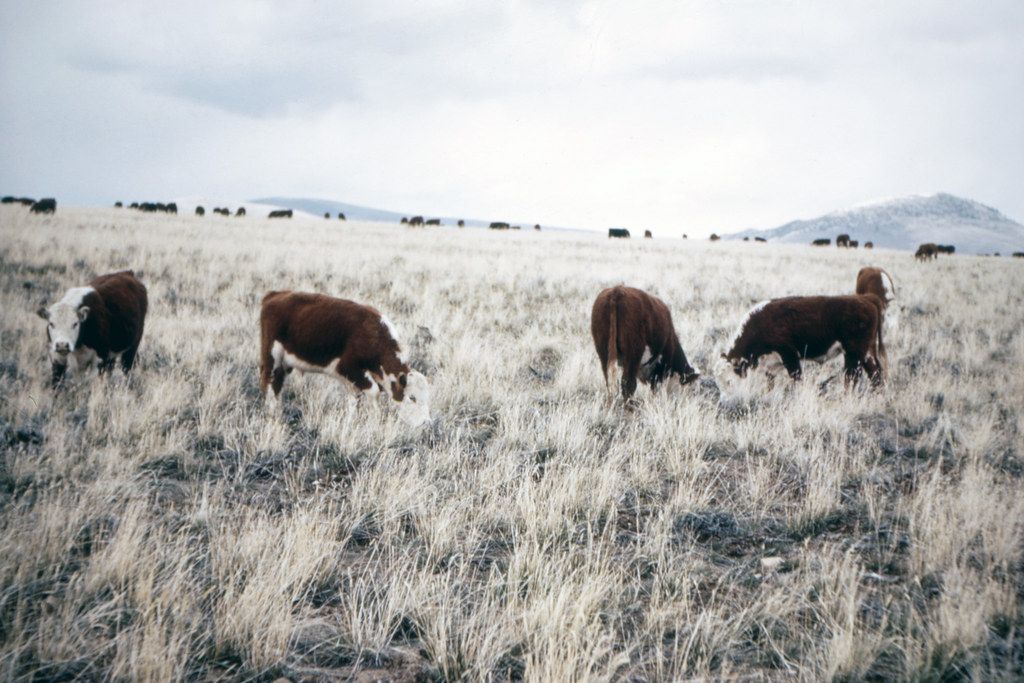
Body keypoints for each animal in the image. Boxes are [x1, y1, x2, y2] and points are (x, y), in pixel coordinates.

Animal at [259, 291, 430, 426]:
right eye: (412, 397)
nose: (426, 423)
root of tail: (275, 295)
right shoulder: (347, 367)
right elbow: (374, 391)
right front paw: (375, 419)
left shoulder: (351, 379)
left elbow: (353, 400)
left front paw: (351, 420)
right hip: (272, 357)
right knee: (270, 382)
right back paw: (272, 414)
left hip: (285, 363)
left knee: (277, 385)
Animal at [721, 295, 885, 387]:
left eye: (728, 382)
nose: (724, 402)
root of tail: (867, 300)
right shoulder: (770, 365)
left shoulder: (789, 355)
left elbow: (796, 378)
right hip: (866, 352)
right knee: (875, 372)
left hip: (853, 353)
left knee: (852, 376)